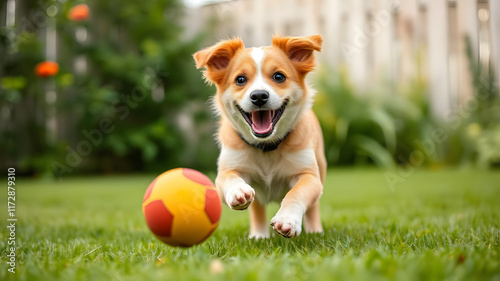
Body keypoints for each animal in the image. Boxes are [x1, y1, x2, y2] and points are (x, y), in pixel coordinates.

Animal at [193, 34, 326, 237]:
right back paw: (259, 235)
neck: (267, 146)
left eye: (279, 76)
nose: (259, 96)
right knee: (257, 207)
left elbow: (297, 193)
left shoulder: (309, 175)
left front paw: (287, 219)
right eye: (240, 79)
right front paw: (238, 190)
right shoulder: (228, 168)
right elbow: (228, 178)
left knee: (313, 206)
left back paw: (314, 231)